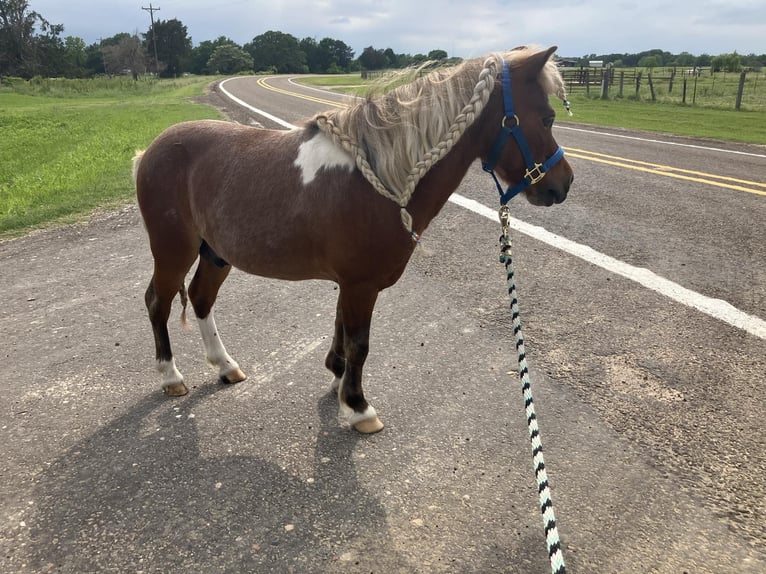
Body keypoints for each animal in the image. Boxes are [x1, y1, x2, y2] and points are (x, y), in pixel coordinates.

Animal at [135, 45, 572, 434]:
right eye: (547, 118)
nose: (563, 184)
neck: (376, 180)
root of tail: (151, 149)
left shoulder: (349, 283)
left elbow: (342, 334)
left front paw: (338, 381)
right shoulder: (361, 285)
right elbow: (359, 343)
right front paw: (359, 407)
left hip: (215, 253)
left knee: (201, 297)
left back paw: (225, 367)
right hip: (173, 251)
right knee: (158, 301)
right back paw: (171, 376)